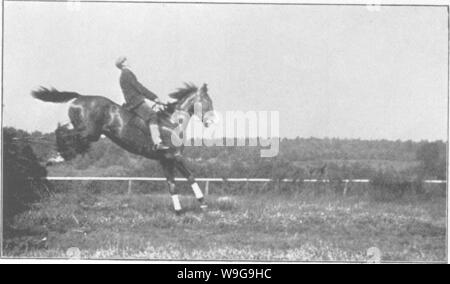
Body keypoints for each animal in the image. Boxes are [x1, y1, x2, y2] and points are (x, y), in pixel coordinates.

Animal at [31, 82, 214, 213]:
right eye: (208, 101)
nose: (211, 122)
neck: (172, 122)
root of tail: (80, 97)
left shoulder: (165, 160)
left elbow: (172, 186)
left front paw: (178, 211)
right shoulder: (174, 157)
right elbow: (191, 177)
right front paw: (203, 204)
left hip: (90, 132)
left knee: (64, 132)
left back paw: (57, 156)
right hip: (90, 132)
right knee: (63, 132)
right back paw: (56, 156)